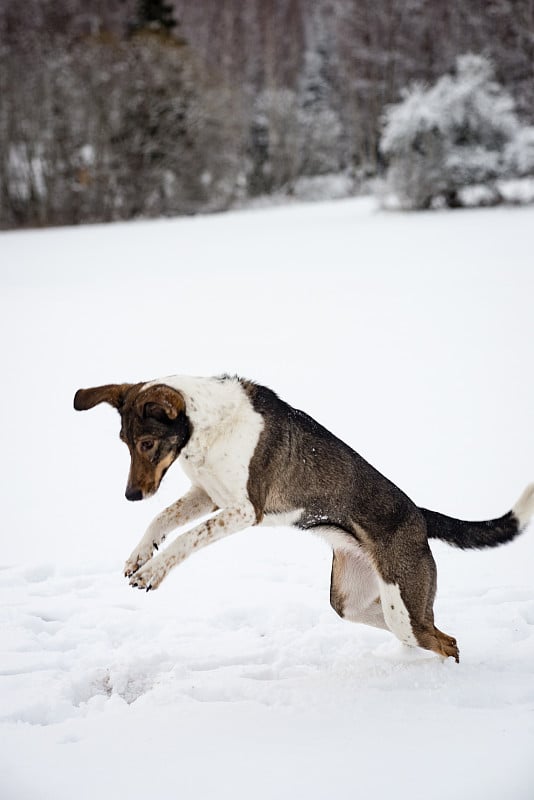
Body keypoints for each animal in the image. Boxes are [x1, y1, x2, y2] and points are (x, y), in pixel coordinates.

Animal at [73, 376, 532, 664]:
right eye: (125, 442)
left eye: (148, 443)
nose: (131, 495)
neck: (208, 427)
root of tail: (420, 516)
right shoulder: (208, 494)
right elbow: (161, 518)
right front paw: (139, 555)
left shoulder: (244, 510)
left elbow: (186, 538)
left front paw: (152, 571)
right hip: (359, 604)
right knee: (433, 634)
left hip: (403, 606)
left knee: (446, 642)